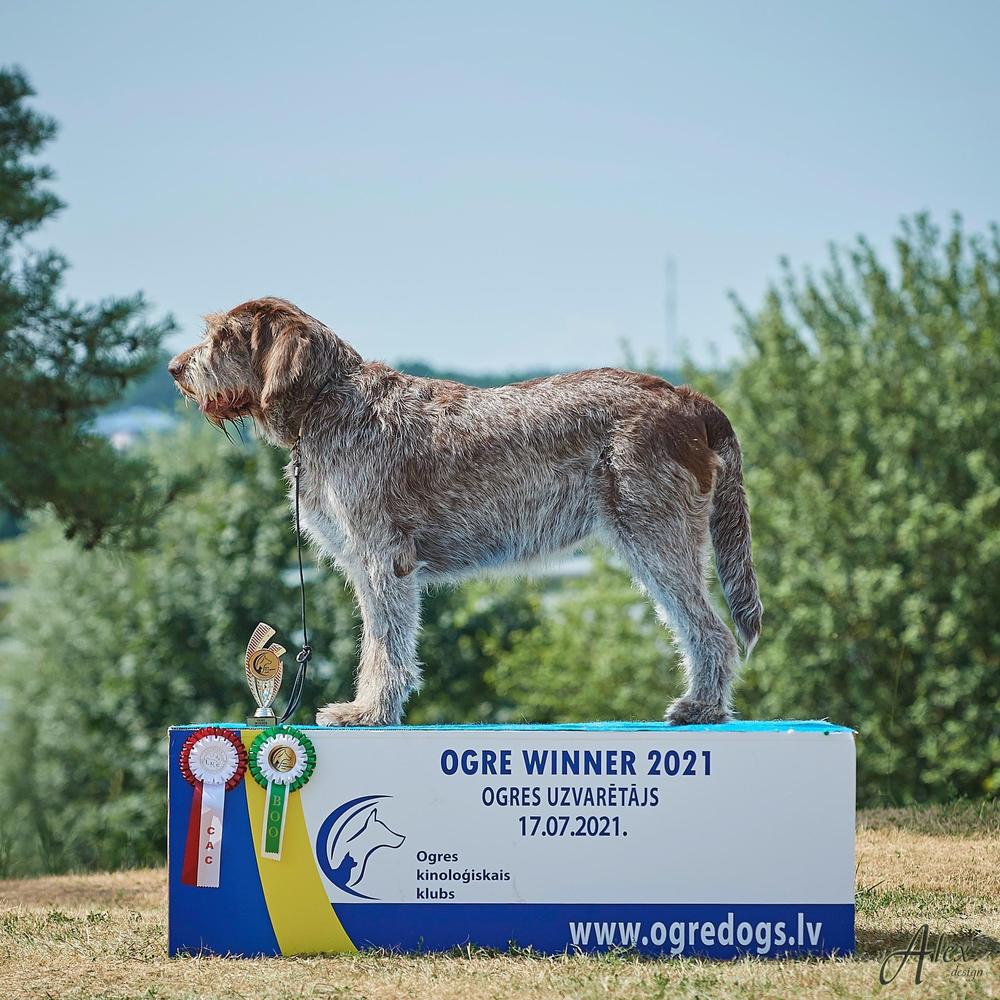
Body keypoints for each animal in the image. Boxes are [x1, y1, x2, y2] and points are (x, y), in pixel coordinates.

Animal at [172, 296, 764, 728]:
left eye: (223, 337)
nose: (175, 368)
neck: (327, 402)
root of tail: (686, 397)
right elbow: (383, 642)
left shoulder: (382, 559)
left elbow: (383, 644)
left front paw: (368, 712)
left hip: (655, 537)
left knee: (712, 631)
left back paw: (703, 708)